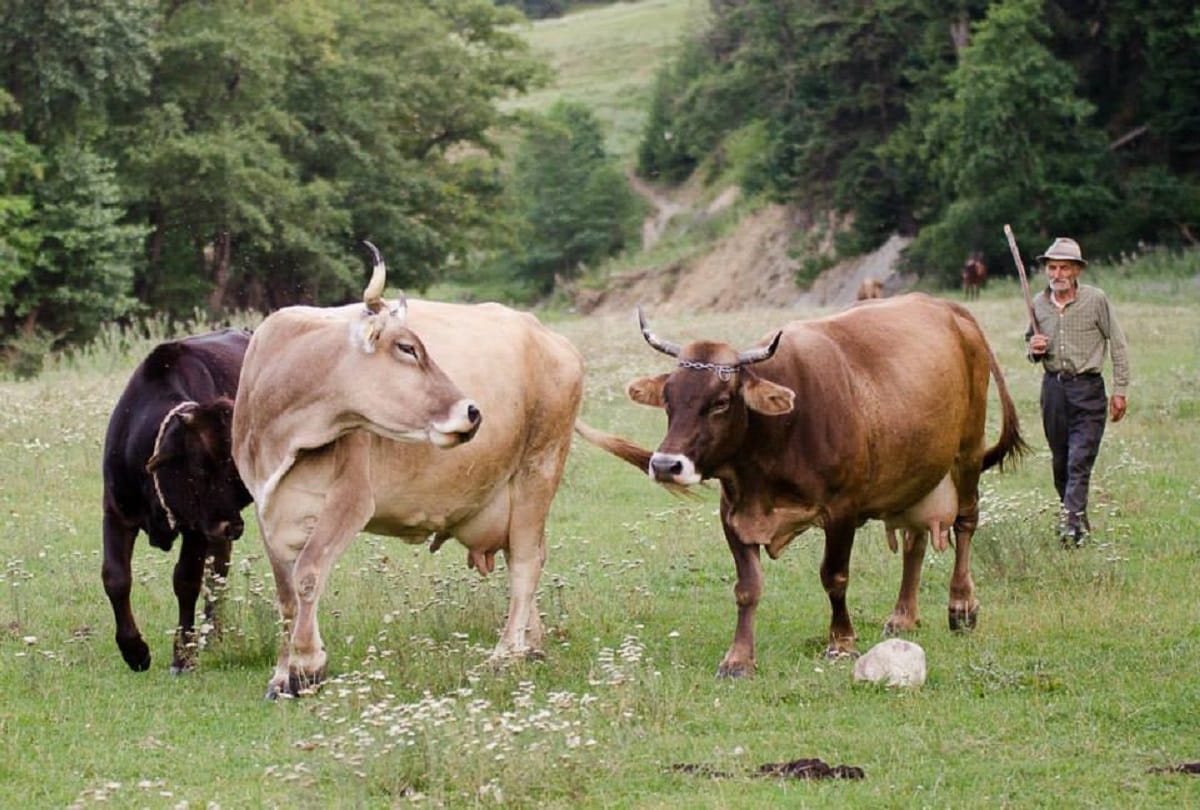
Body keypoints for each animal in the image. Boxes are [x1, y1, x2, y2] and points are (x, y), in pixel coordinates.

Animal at [101, 328, 253, 673]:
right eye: (199, 467)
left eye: (234, 468)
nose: (233, 526)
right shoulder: (115, 512)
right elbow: (115, 578)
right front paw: (134, 650)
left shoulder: (196, 529)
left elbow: (186, 581)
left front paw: (182, 655)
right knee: (219, 568)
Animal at [232, 245, 583, 698]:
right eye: (407, 348)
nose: (472, 411)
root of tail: (550, 339)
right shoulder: (268, 506)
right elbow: (286, 594)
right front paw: (281, 674)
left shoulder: (350, 498)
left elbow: (308, 575)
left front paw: (307, 665)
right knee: (525, 556)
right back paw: (531, 645)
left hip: (538, 469)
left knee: (525, 563)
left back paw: (505, 653)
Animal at [576, 294, 1027, 676]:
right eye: (669, 399)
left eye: (720, 402)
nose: (666, 465)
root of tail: (949, 309)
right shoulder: (732, 514)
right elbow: (747, 588)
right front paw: (738, 659)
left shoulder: (842, 510)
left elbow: (834, 576)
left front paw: (841, 642)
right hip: (914, 474)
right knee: (914, 543)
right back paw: (903, 615)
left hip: (967, 454)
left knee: (966, 524)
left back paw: (961, 605)